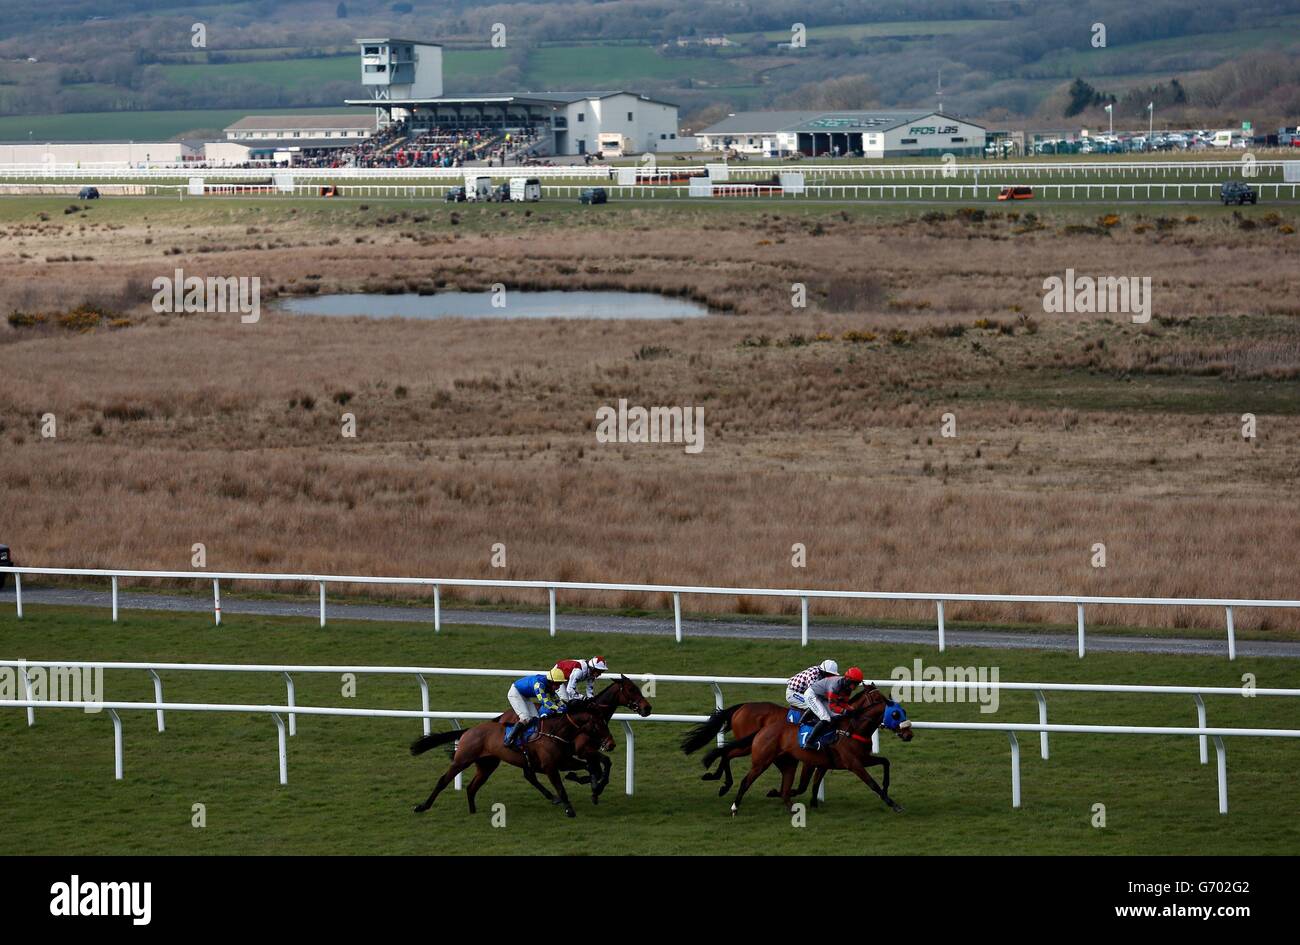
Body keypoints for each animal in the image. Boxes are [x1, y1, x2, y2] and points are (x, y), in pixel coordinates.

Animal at [410, 707, 613, 816]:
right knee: (443, 781)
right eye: (598, 724)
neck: (556, 732)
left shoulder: (564, 761)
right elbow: (561, 788)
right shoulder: (550, 766)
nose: (611, 743)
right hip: (462, 760)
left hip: (487, 766)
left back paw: (473, 811)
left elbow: (588, 766)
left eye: (605, 722)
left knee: (472, 787)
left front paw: (595, 787)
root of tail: (469, 730)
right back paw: (423, 806)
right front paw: (570, 810)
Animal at [722, 686, 915, 816]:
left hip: (784, 762)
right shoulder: (852, 763)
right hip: (760, 759)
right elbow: (871, 783)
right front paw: (893, 804)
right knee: (743, 776)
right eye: (895, 714)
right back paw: (733, 803)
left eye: (904, 711)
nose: (908, 734)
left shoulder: (854, 759)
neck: (851, 728)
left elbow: (885, 762)